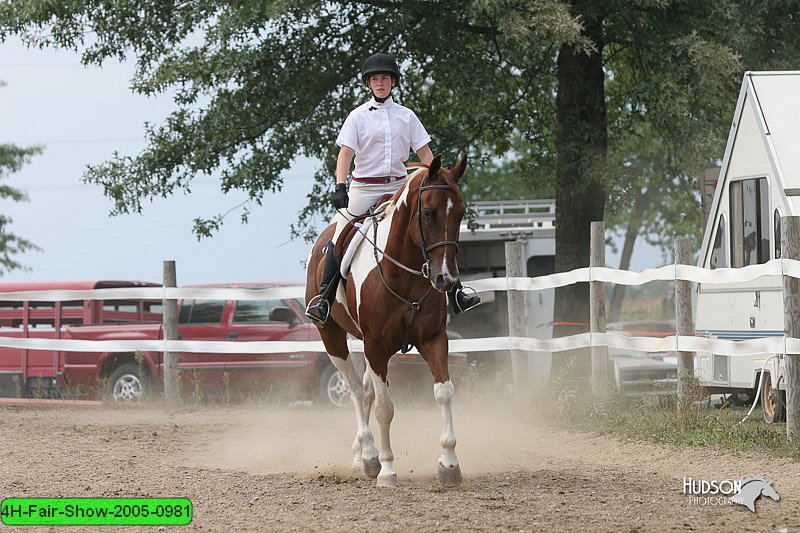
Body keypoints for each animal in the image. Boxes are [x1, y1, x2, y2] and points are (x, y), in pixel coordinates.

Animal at [306, 153, 468, 486]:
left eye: (461, 213)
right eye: (428, 213)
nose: (445, 278)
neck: (402, 273)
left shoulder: (433, 339)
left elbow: (444, 392)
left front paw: (449, 464)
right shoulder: (376, 345)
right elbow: (384, 407)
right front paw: (388, 469)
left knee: (366, 392)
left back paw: (360, 455)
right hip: (333, 339)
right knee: (357, 391)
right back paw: (370, 455)